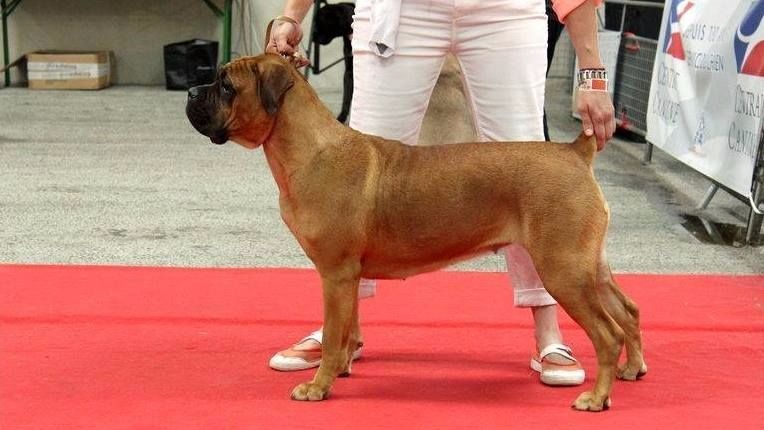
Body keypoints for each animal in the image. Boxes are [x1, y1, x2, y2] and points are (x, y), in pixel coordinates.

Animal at [185, 54, 644, 414]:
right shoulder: (349, 277)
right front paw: (342, 368)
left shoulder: (335, 274)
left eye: (226, 85)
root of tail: (575, 152)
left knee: (608, 334)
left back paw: (596, 398)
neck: (310, 150)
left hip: (563, 270)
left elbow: (333, 334)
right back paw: (632, 368)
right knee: (629, 312)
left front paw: (318, 387)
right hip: (590, 268)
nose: (190, 91)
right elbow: (347, 329)